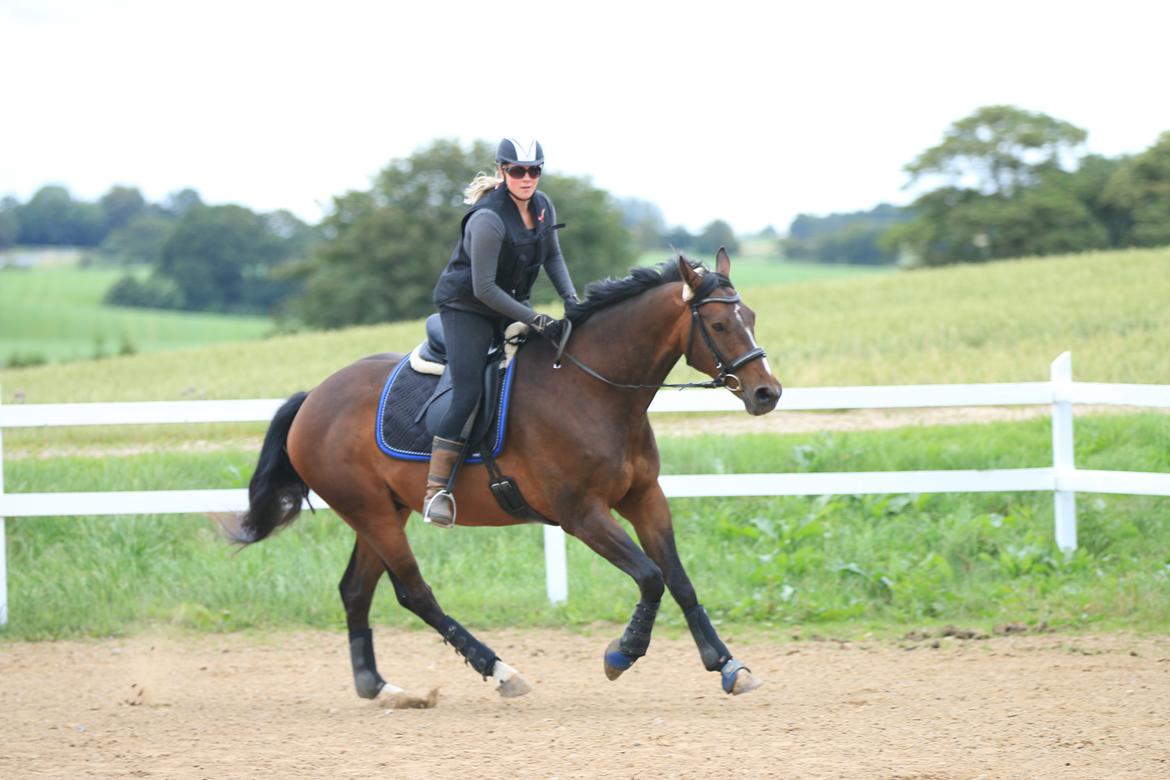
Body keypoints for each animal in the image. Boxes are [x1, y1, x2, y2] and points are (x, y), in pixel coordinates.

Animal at [232, 250, 781, 701]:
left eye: (751, 317)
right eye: (719, 324)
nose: (767, 393)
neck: (593, 389)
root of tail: (313, 398)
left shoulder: (645, 498)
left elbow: (679, 580)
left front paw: (727, 664)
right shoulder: (582, 515)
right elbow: (650, 577)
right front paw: (621, 654)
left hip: (385, 511)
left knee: (356, 590)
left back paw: (379, 686)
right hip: (370, 512)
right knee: (414, 592)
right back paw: (499, 671)